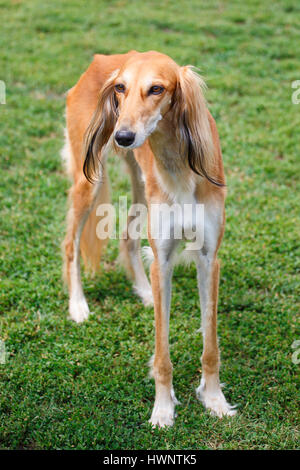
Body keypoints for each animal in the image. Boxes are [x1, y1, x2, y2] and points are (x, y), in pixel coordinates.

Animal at [62, 50, 237, 426]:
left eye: (157, 88)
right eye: (121, 88)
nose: (123, 136)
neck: (180, 165)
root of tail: (102, 58)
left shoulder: (208, 257)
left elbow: (211, 344)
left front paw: (214, 400)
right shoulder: (165, 260)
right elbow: (162, 352)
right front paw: (163, 409)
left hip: (141, 185)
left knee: (127, 236)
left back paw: (143, 291)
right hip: (90, 180)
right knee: (71, 244)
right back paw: (78, 305)